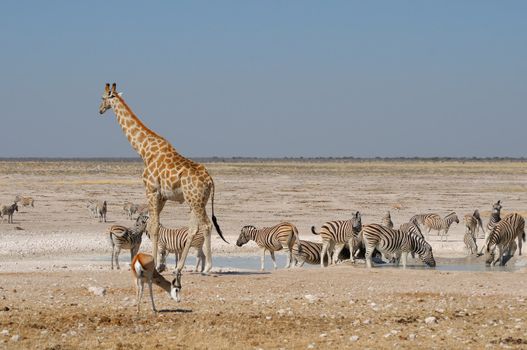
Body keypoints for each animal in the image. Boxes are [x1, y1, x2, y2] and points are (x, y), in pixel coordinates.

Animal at [98, 82, 228, 274]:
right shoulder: (163, 196)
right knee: (193, 227)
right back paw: (179, 268)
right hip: (197, 201)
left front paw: (153, 265)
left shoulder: (151, 190)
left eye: (102, 97)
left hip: (195, 200)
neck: (144, 150)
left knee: (206, 225)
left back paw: (207, 268)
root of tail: (210, 180)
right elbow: (155, 226)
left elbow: (153, 227)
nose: (100, 109)